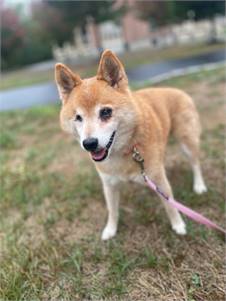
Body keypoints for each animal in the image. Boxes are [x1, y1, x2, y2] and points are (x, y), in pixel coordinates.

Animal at [54, 50, 207, 240]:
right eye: (78, 117)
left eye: (105, 112)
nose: (89, 143)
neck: (124, 152)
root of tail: (178, 90)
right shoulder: (109, 184)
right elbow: (112, 210)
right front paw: (110, 230)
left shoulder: (159, 181)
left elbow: (170, 206)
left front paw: (178, 225)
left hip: (187, 142)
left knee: (195, 164)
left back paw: (199, 186)